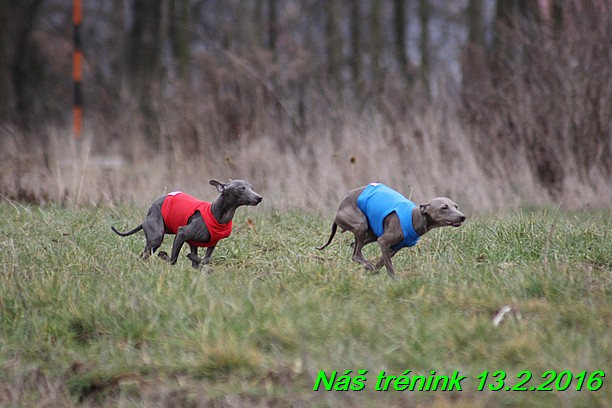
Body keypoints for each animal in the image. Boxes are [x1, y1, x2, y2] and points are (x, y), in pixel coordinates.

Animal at [111, 178, 262, 268]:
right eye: (241, 188)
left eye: (252, 187)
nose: (259, 198)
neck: (217, 214)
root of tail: (147, 214)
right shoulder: (182, 232)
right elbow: (173, 260)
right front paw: (166, 256)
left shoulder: (207, 244)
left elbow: (205, 260)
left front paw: (195, 260)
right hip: (156, 237)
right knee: (144, 255)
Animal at [318, 184, 466, 278]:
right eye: (444, 207)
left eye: (456, 206)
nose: (462, 217)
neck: (414, 217)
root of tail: (339, 208)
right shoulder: (384, 241)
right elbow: (389, 266)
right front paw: (393, 281)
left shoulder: (395, 247)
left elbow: (382, 262)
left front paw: (373, 272)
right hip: (361, 224)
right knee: (356, 254)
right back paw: (366, 264)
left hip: (371, 231)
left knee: (354, 246)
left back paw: (366, 265)